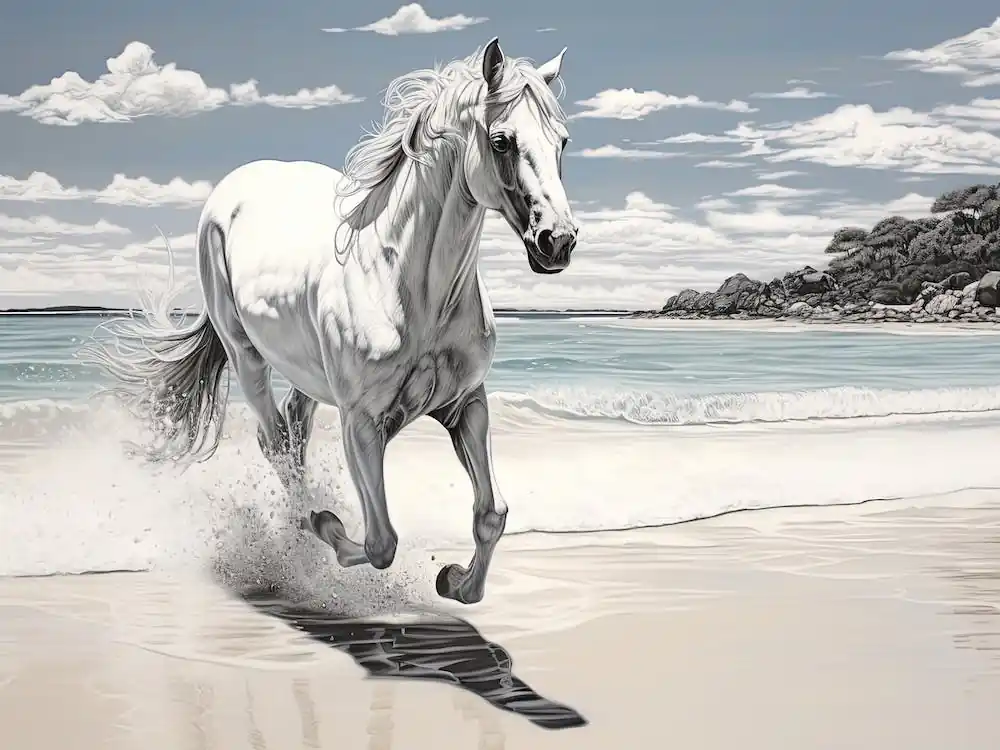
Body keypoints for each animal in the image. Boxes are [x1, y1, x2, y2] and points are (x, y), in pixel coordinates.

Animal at [80, 38, 578, 605]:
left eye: (562, 142)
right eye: (501, 141)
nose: (558, 242)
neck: (409, 287)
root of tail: (232, 187)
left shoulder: (466, 406)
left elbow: (491, 514)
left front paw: (453, 580)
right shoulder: (361, 421)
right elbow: (381, 542)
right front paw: (329, 526)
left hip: (308, 376)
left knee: (293, 431)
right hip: (247, 358)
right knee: (275, 442)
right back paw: (304, 526)